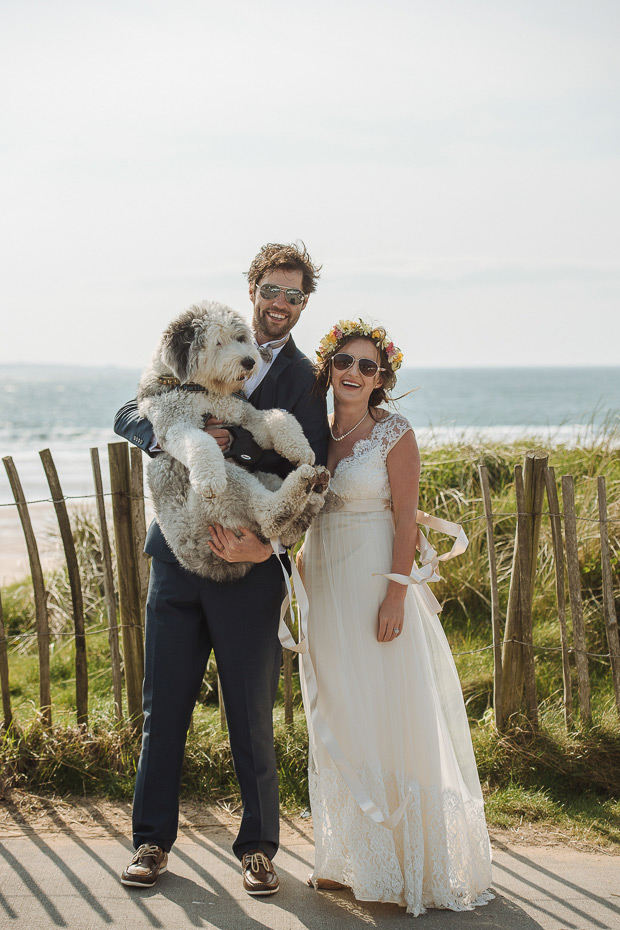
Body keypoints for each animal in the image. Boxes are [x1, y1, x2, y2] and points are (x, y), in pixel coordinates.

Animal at [136, 300, 330, 580]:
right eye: (218, 342)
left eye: (240, 338)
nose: (249, 362)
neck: (202, 390)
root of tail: (215, 566)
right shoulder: (176, 423)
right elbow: (201, 443)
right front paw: (209, 479)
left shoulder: (244, 415)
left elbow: (279, 417)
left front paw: (300, 448)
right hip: (223, 494)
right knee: (269, 517)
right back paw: (306, 487)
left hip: (263, 478)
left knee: (281, 530)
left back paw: (315, 489)